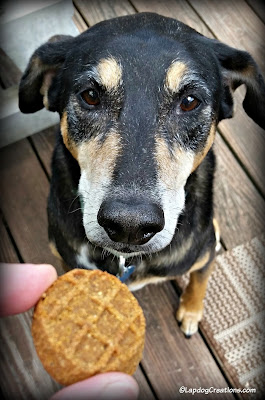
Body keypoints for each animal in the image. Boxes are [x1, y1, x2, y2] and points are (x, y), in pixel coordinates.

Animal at [19, 13, 264, 338]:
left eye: (190, 101)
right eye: (91, 95)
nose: (129, 226)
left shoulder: (204, 253)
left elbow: (200, 280)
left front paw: (191, 311)